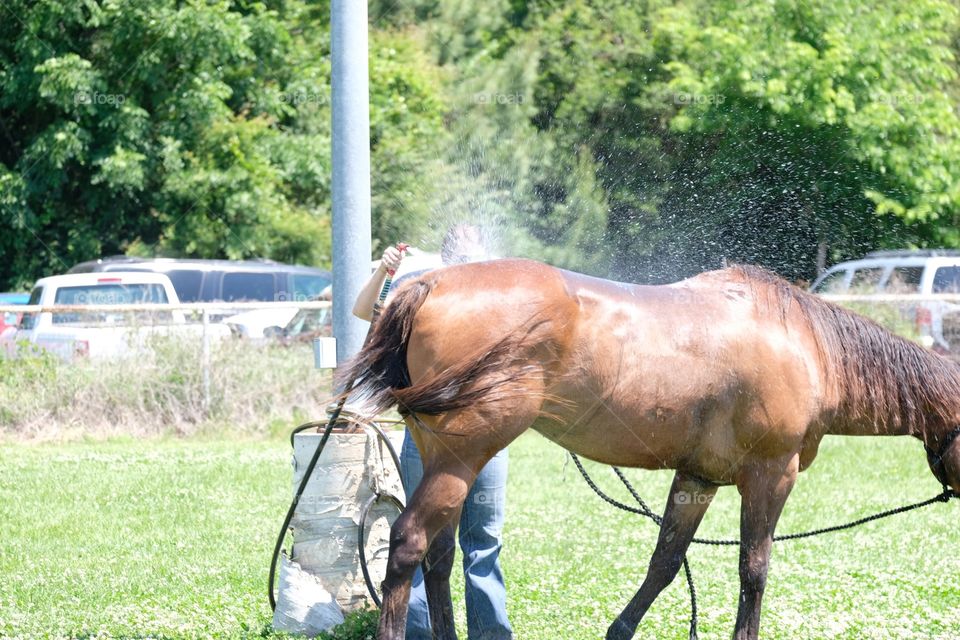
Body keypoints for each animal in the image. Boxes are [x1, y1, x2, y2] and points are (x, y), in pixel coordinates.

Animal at [337, 258, 960, 640]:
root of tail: (426, 284)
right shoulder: (771, 476)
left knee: (439, 558)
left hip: (443, 456)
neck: (807, 346)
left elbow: (664, 563)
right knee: (408, 544)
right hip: (462, 458)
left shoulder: (698, 478)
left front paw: (619, 630)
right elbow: (754, 570)